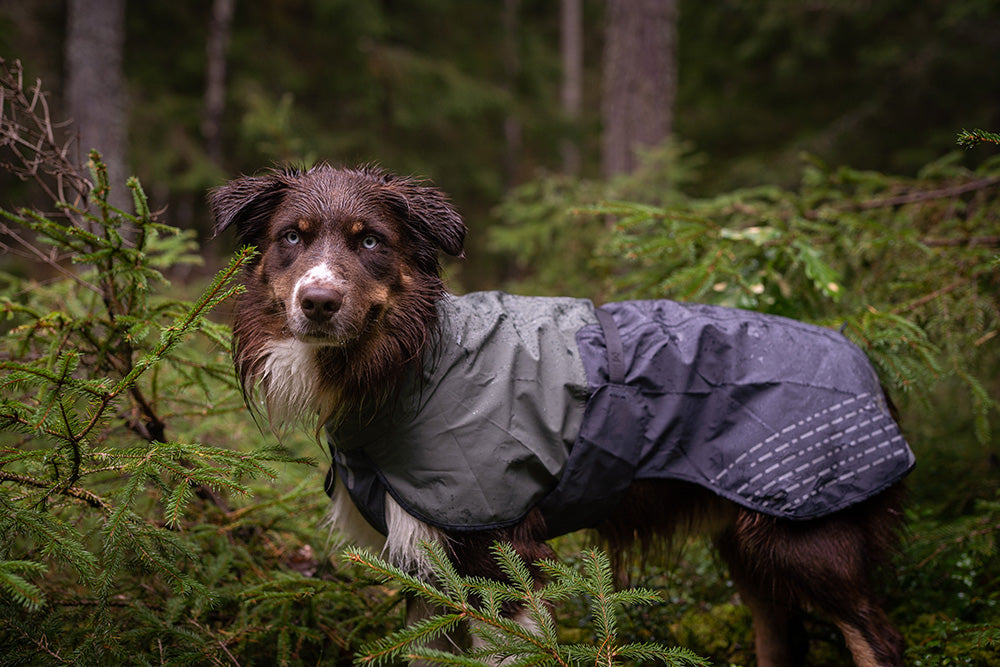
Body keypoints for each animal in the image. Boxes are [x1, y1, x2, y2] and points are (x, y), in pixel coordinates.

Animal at [211, 166, 916, 667]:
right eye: (291, 238)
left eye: (371, 241)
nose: (318, 302)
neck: (408, 366)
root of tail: (867, 364)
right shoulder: (424, 566)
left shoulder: (499, 553)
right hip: (747, 539)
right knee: (780, 636)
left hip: (808, 534)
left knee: (877, 638)